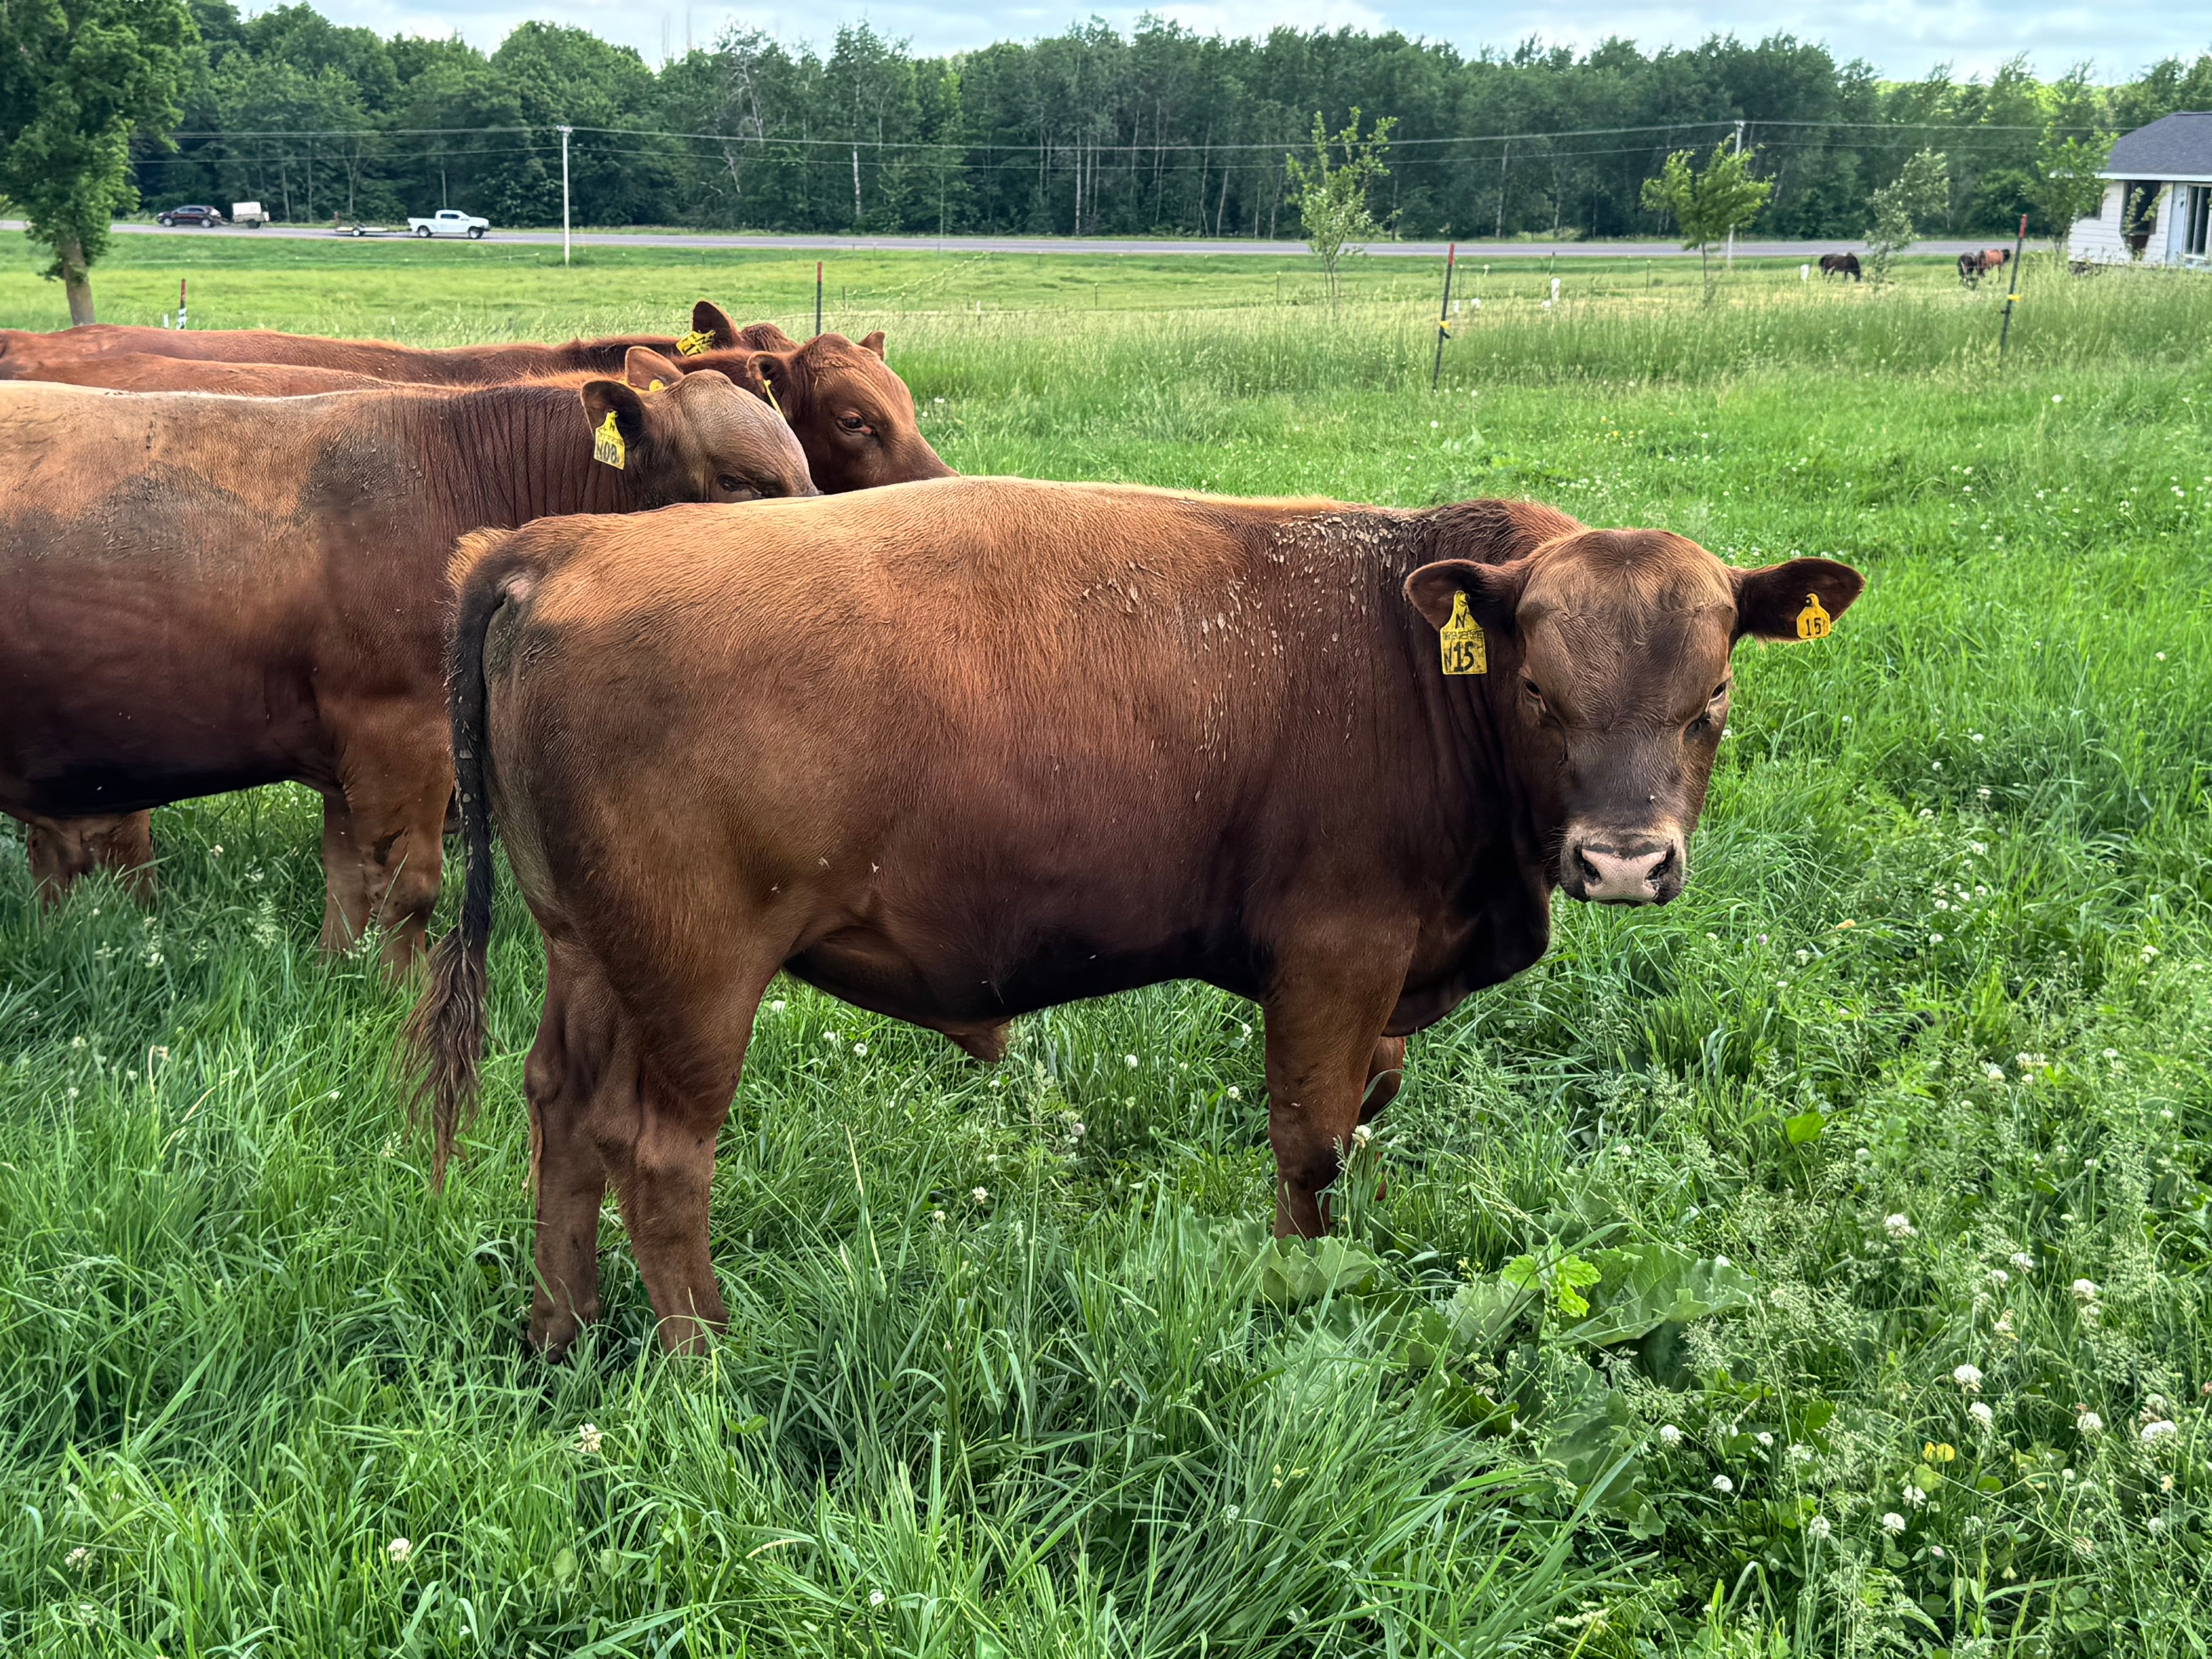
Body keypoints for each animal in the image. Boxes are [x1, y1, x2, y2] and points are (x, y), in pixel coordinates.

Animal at [0, 353, 815, 955]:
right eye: (738, 481)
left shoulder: (348, 754)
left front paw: (340, 979)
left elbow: (348, 884)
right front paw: (397, 996)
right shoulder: (400, 732)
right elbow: (408, 885)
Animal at [406, 481, 1864, 1355]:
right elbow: (1309, 1148)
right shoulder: (1332, 958)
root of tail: (564, 541)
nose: (1623, 860)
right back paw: (705, 1356)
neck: (1407, 663)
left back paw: (559, 1334)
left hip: (591, 955)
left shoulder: (1386, 991)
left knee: (559, 1112)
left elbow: (1358, 1129)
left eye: (1711, 693)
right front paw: (1298, 1303)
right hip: (697, 976)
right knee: (657, 1155)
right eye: (1540, 692)